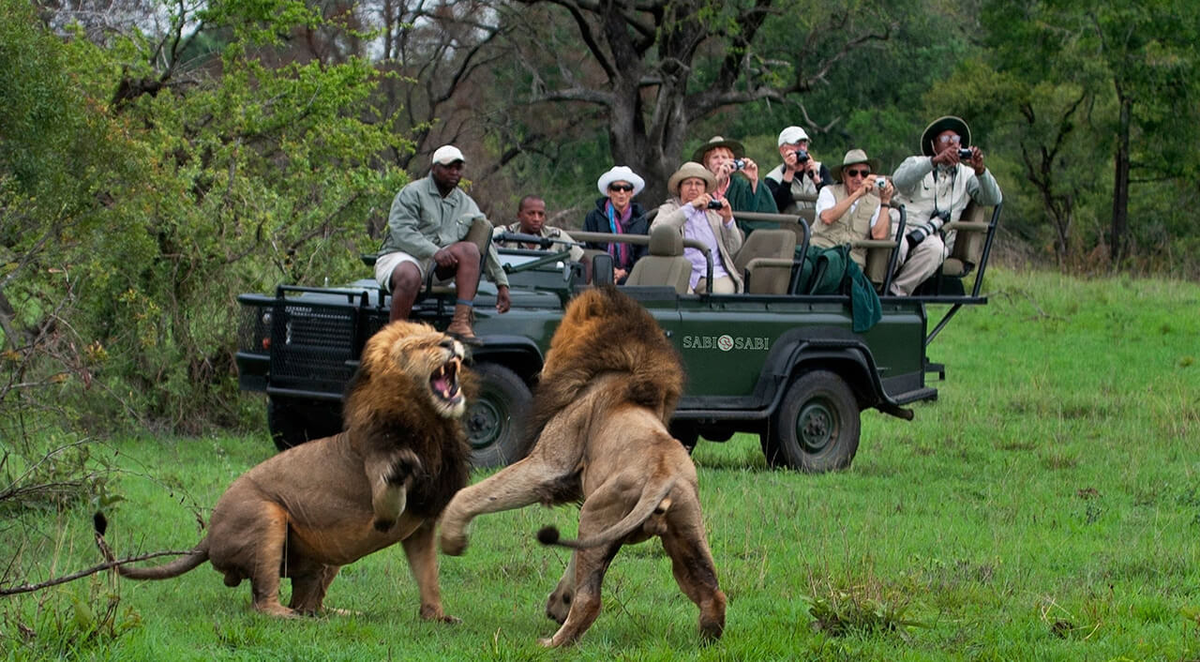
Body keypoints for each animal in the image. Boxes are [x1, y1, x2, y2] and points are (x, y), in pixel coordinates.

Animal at [93, 321, 470, 618]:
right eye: (417, 346)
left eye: (440, 335)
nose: (450, 343)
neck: (433, 424)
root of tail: (208, 536)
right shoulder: (380, 486)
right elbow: (388, 498)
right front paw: (403, 466)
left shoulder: (424, 523)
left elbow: (429, 576)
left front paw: (437, 617)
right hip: (266, 517)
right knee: (263, 603)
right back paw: (291, 618)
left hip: (325, 555)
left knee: (308, 602)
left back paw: (338, 613)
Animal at [439, 285, 724, 647]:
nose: (541, 369)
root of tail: (663, 476)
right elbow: (574, 560)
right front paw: (559, 602)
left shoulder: (547, 465)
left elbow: (469, 494)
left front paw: (452, 540)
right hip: (679, 529)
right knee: (712, 593)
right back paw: (706, 639)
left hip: (597, 512)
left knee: (591, 601)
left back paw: (551, 644)